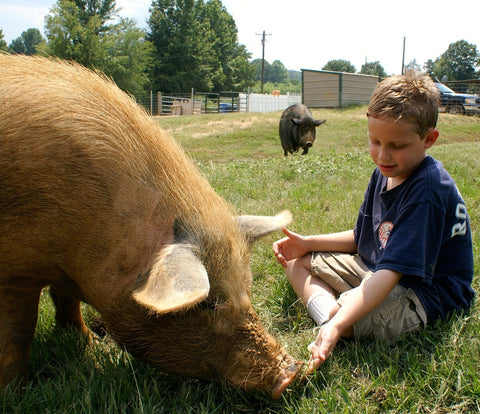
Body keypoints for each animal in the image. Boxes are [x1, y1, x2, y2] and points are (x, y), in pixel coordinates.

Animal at [0, 55, 300, 398]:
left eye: (246, 287)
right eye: (206, 303)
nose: (292, 372)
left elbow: (65, 301)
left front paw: (91, 346)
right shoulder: (15, 272)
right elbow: (18, 332)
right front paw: (15, 392)